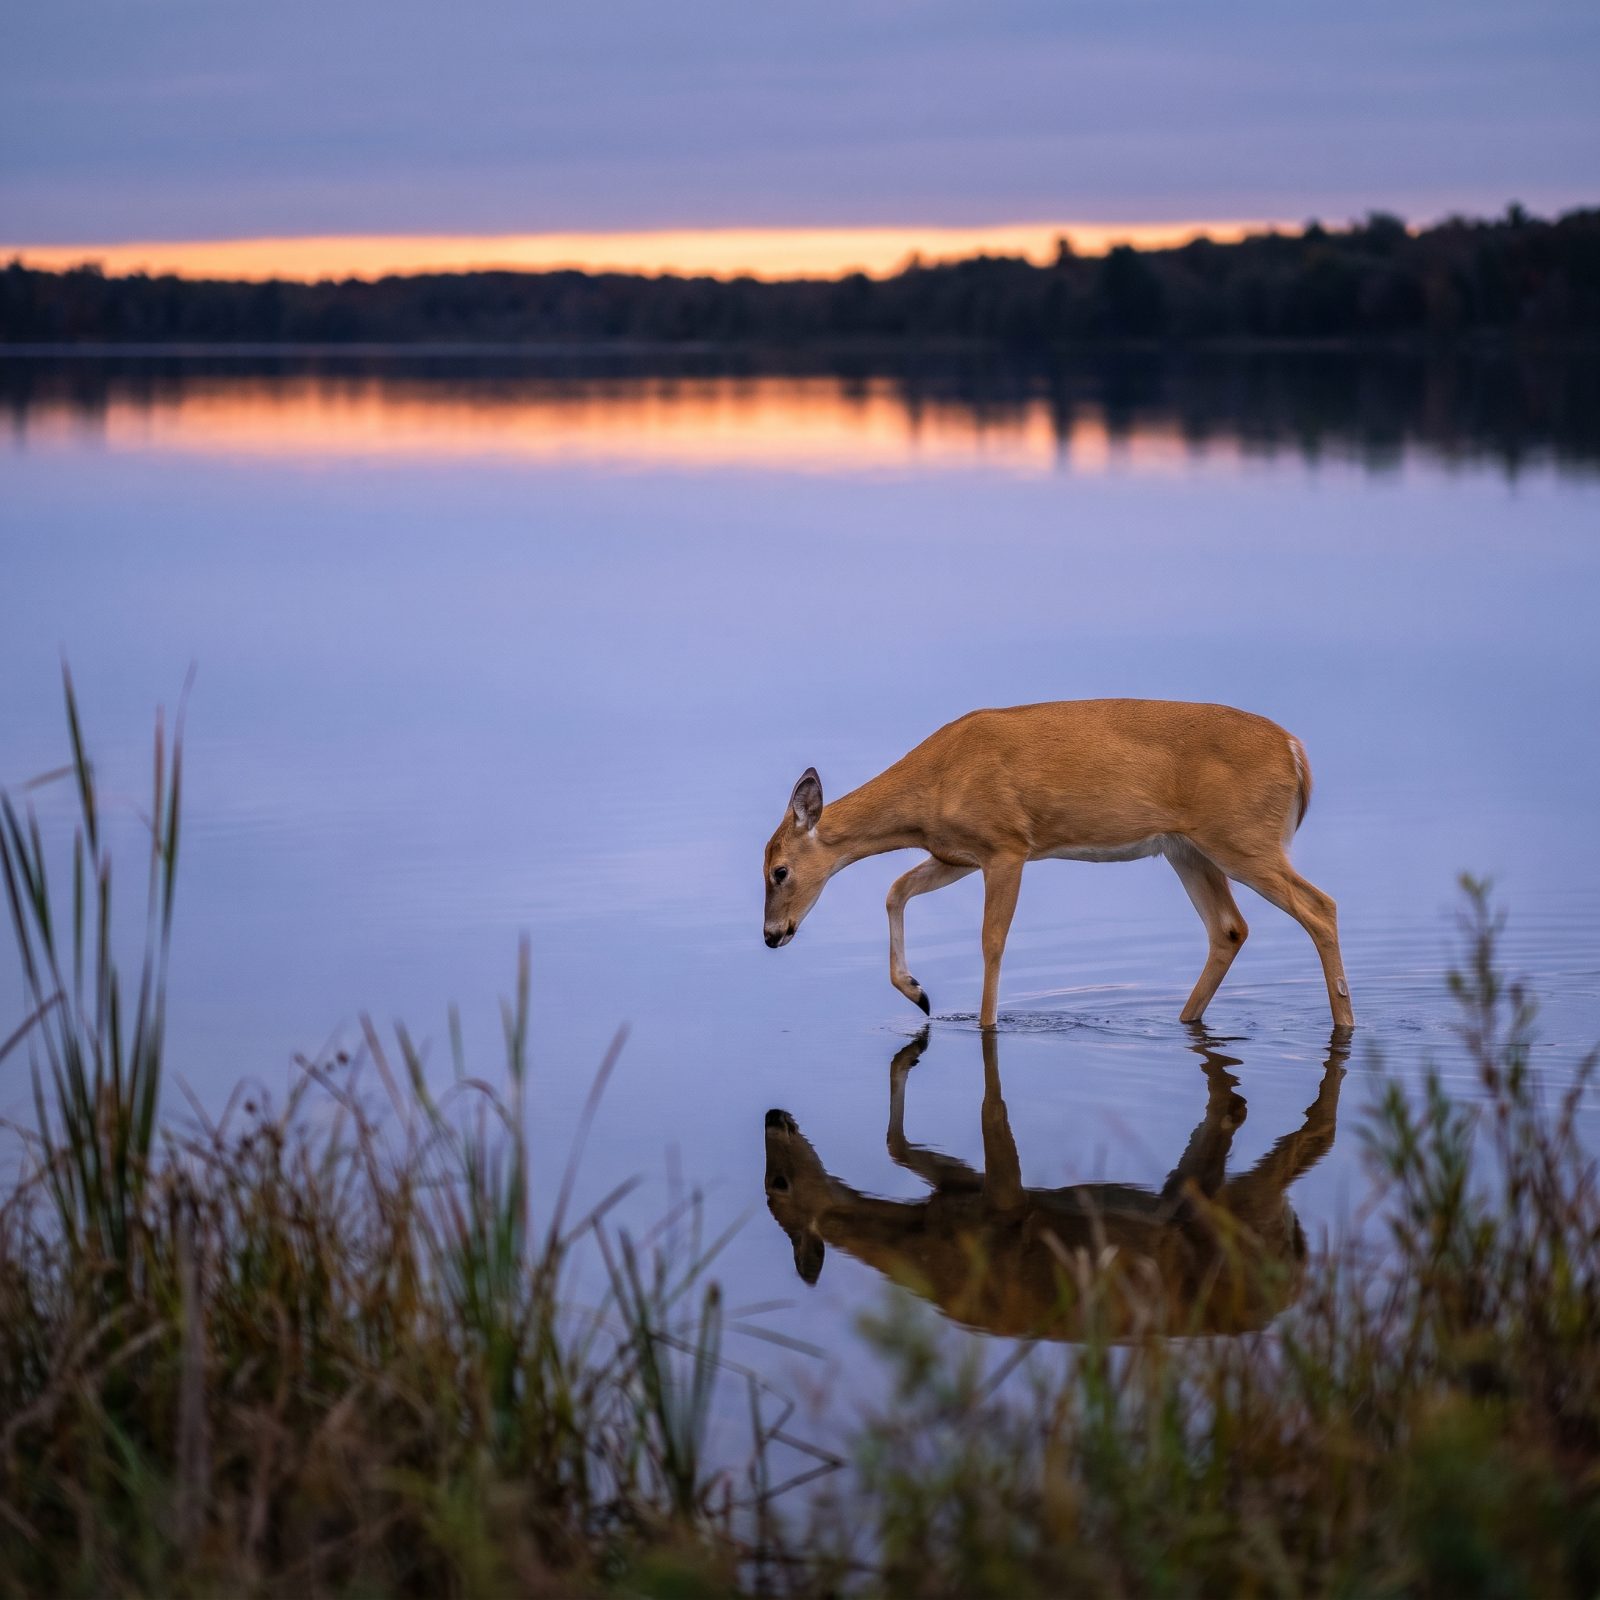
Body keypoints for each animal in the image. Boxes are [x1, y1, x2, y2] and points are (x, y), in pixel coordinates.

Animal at [761, 700, 1353, 1030]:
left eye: (778, 871)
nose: (771, 935)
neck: (935, 781)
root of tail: (1295, 753)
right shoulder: (956, 854)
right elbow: (895, 889)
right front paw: (919, 993)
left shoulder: (1007, 845)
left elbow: (992, 940)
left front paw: (985, 1024)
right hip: (1188, 850)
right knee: (1228, 928)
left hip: (1242, 839)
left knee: (1320, 906)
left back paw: (1345, 1023)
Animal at [763, 1028, 1347, 1340]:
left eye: (779, 1182)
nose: (772, 1117)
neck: (920, 1241)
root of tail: (1297, 1269)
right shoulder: (958, 1190)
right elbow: (899, 1145)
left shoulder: (995, 1204)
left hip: (1240, 1215)